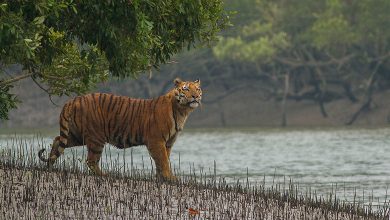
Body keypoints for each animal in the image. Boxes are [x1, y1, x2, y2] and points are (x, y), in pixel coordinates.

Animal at [38, 78, 203, 181]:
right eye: (186, 89)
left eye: (198, 89)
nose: (195, 96)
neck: (182, 111)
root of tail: (73, 100)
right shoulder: (156, 141)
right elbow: (163, 160)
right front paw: (169, 178)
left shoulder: (167, 143)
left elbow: (163, 160)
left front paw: (161, 178)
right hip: (96, 138)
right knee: (91, 160)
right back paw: (104, 175)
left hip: (76, 135)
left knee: (57, 140)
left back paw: (50, 165)